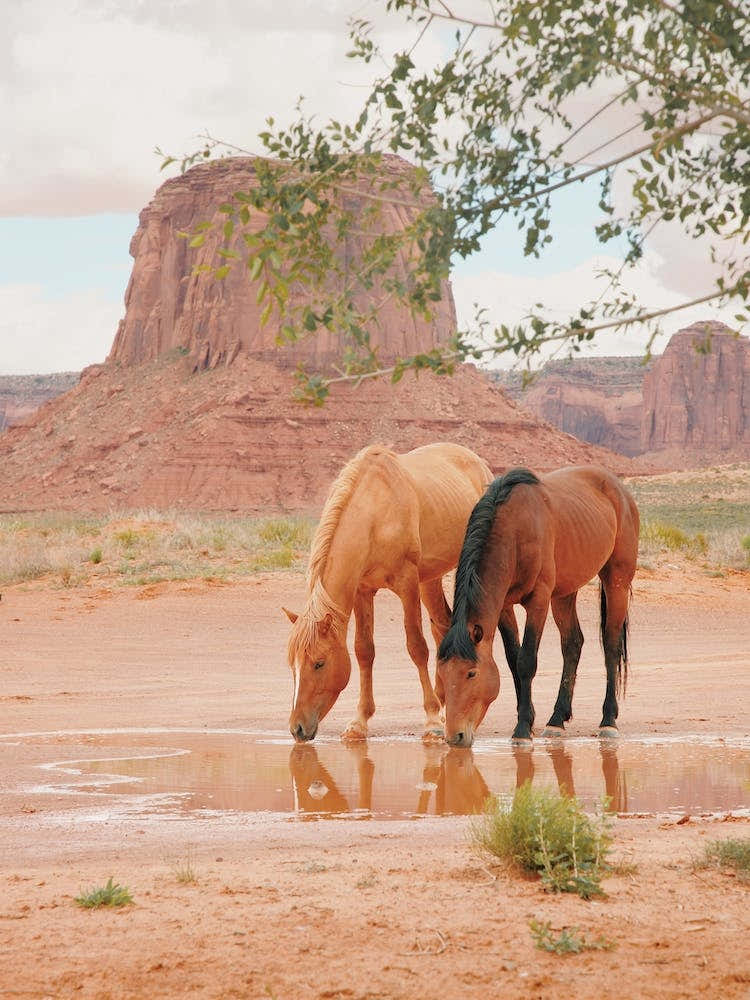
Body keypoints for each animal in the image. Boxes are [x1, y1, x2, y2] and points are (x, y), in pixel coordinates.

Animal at [283, 442, 492, 743]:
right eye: (292, 665)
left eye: (319, 663)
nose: (297, 729)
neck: (376, 512)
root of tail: (477, 461)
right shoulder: (363, 590)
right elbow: (363, 650)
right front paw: (359, 722)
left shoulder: (407, 584)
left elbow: (416, 646)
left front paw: (431, 720)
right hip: (430, 579)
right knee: (442, 626)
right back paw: (445, 703)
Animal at [437, 465, 639, 747]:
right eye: (442, 674)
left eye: (471, 674)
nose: (455, 736)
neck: (515, 532)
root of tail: (619, 489)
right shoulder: (504, 606)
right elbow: (513, 660)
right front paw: (527, 719)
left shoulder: (539, 600)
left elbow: (526, 660)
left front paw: (522, 728)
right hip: (565, 593)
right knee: (572, 644)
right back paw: (557, 720)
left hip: (616, 580)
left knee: (610, 645)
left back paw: (608, 721)